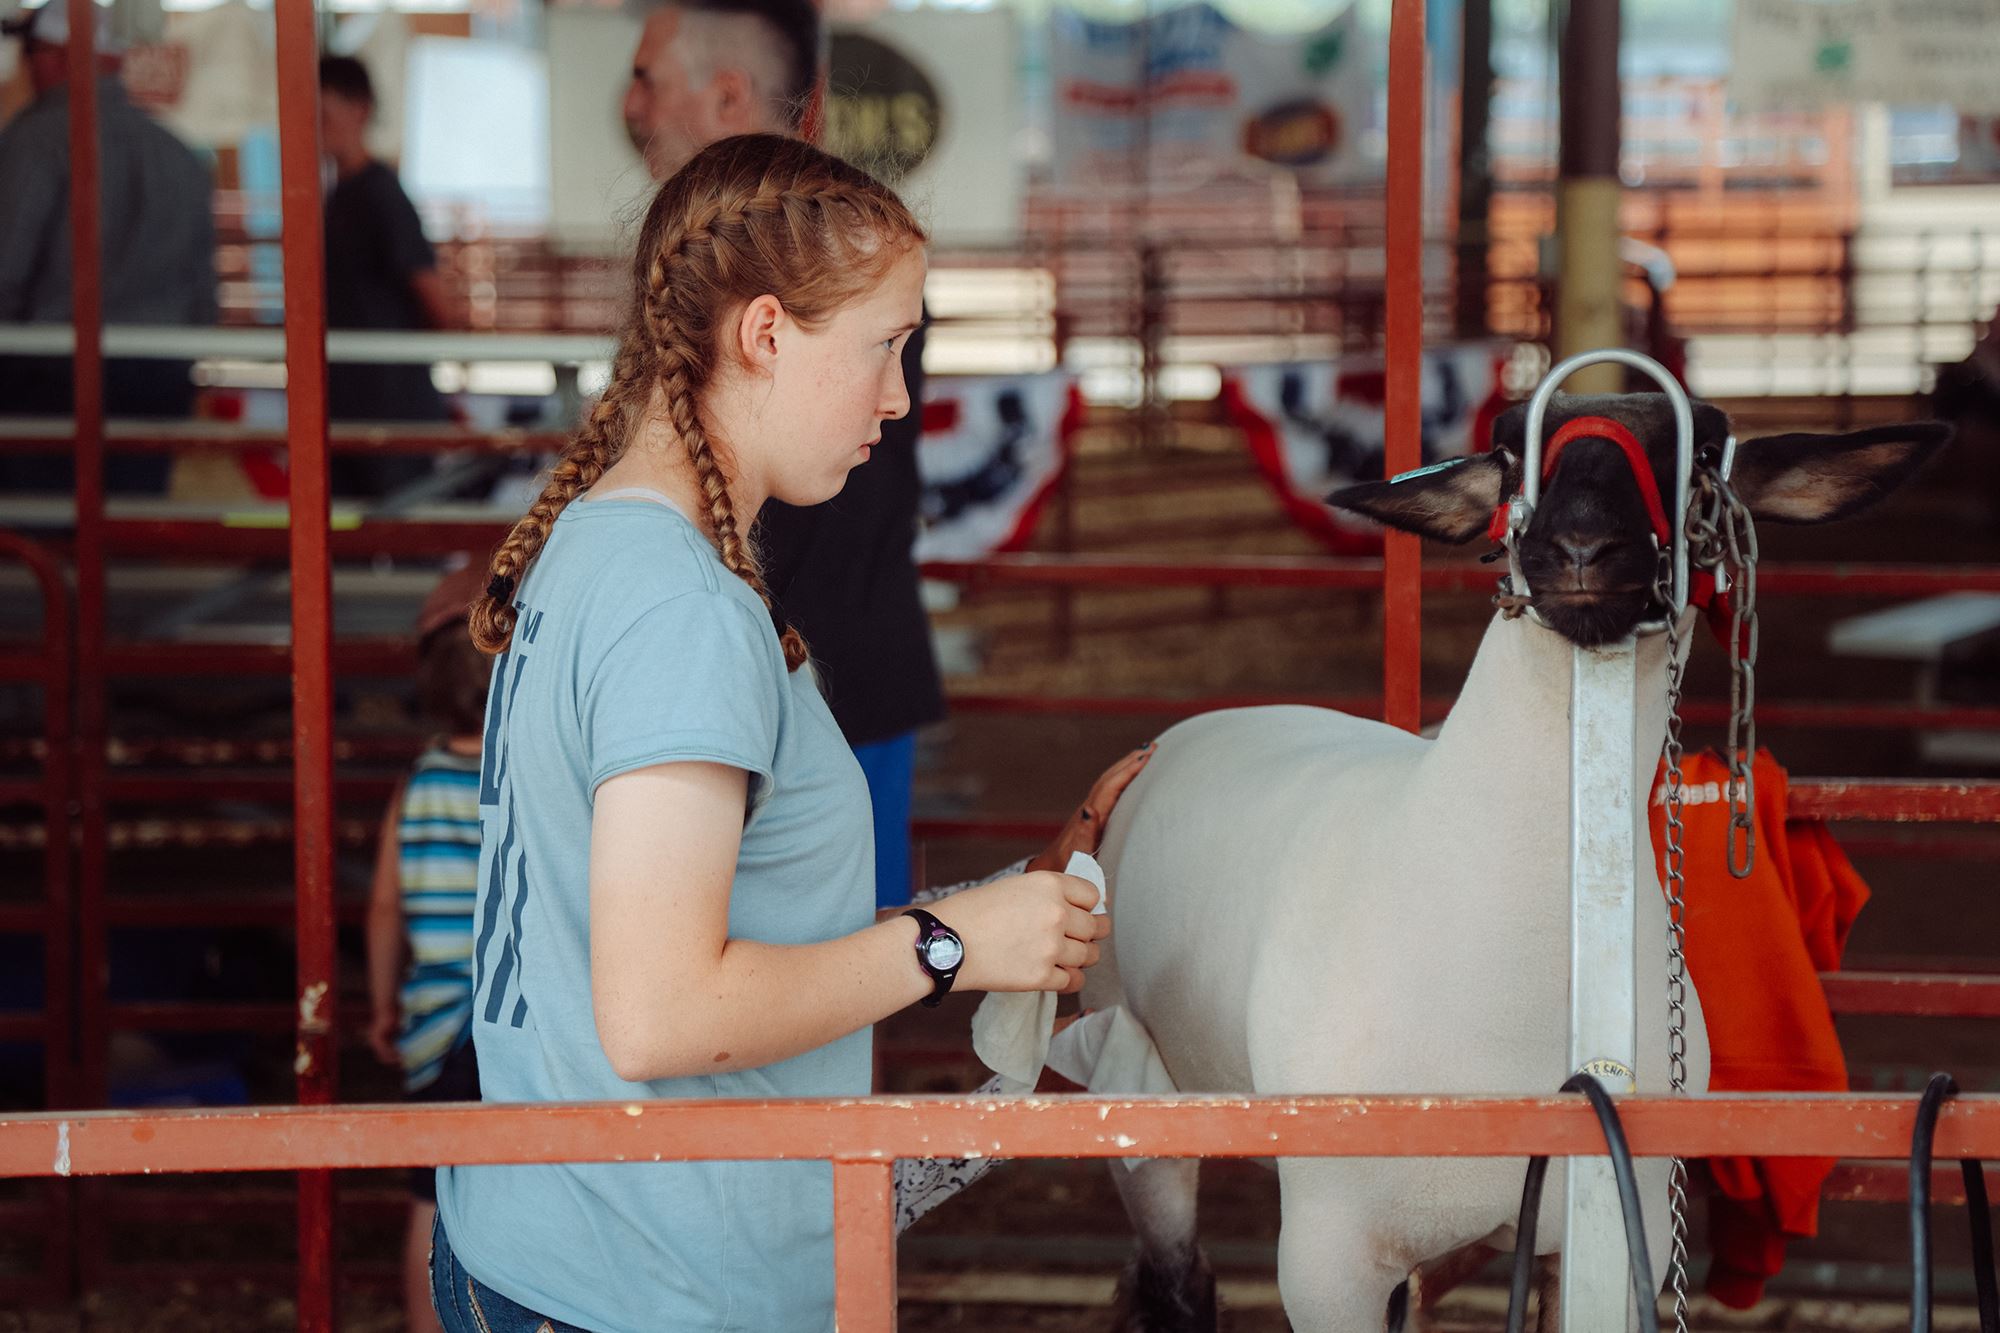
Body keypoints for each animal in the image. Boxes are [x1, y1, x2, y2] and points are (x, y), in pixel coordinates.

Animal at [1088, 394, 1944, 1328]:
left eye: (1704, 443)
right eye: (1507, 447)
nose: (1581, 548)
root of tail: (1208, 720)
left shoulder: (1614, 1225)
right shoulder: (1326, 1255)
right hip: (1139, 1096)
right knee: (1177, 1277)